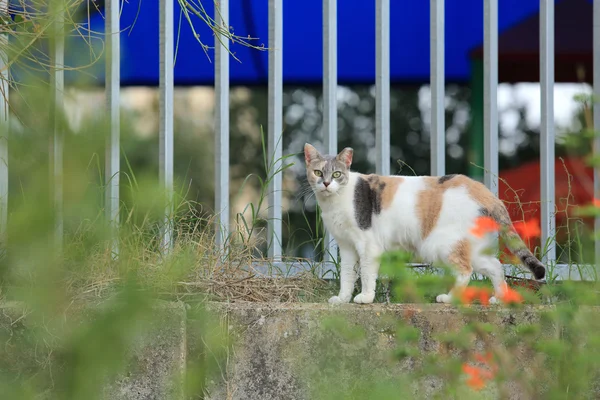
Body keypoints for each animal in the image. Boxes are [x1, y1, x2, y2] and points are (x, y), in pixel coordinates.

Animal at [304, 143, 544, 304]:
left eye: (337, 174)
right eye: (318, 172)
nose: (326, 183)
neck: (335, 201)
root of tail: (483, 191)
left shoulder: (368, 245)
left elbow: (366, 273)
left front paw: (366, 297)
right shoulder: (346, 247)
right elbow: (347, 275)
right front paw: (342, 299)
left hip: (442, 244)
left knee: (465, 271)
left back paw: (449, 298)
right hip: (471, 247)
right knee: (495, 267)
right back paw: (500, 299)